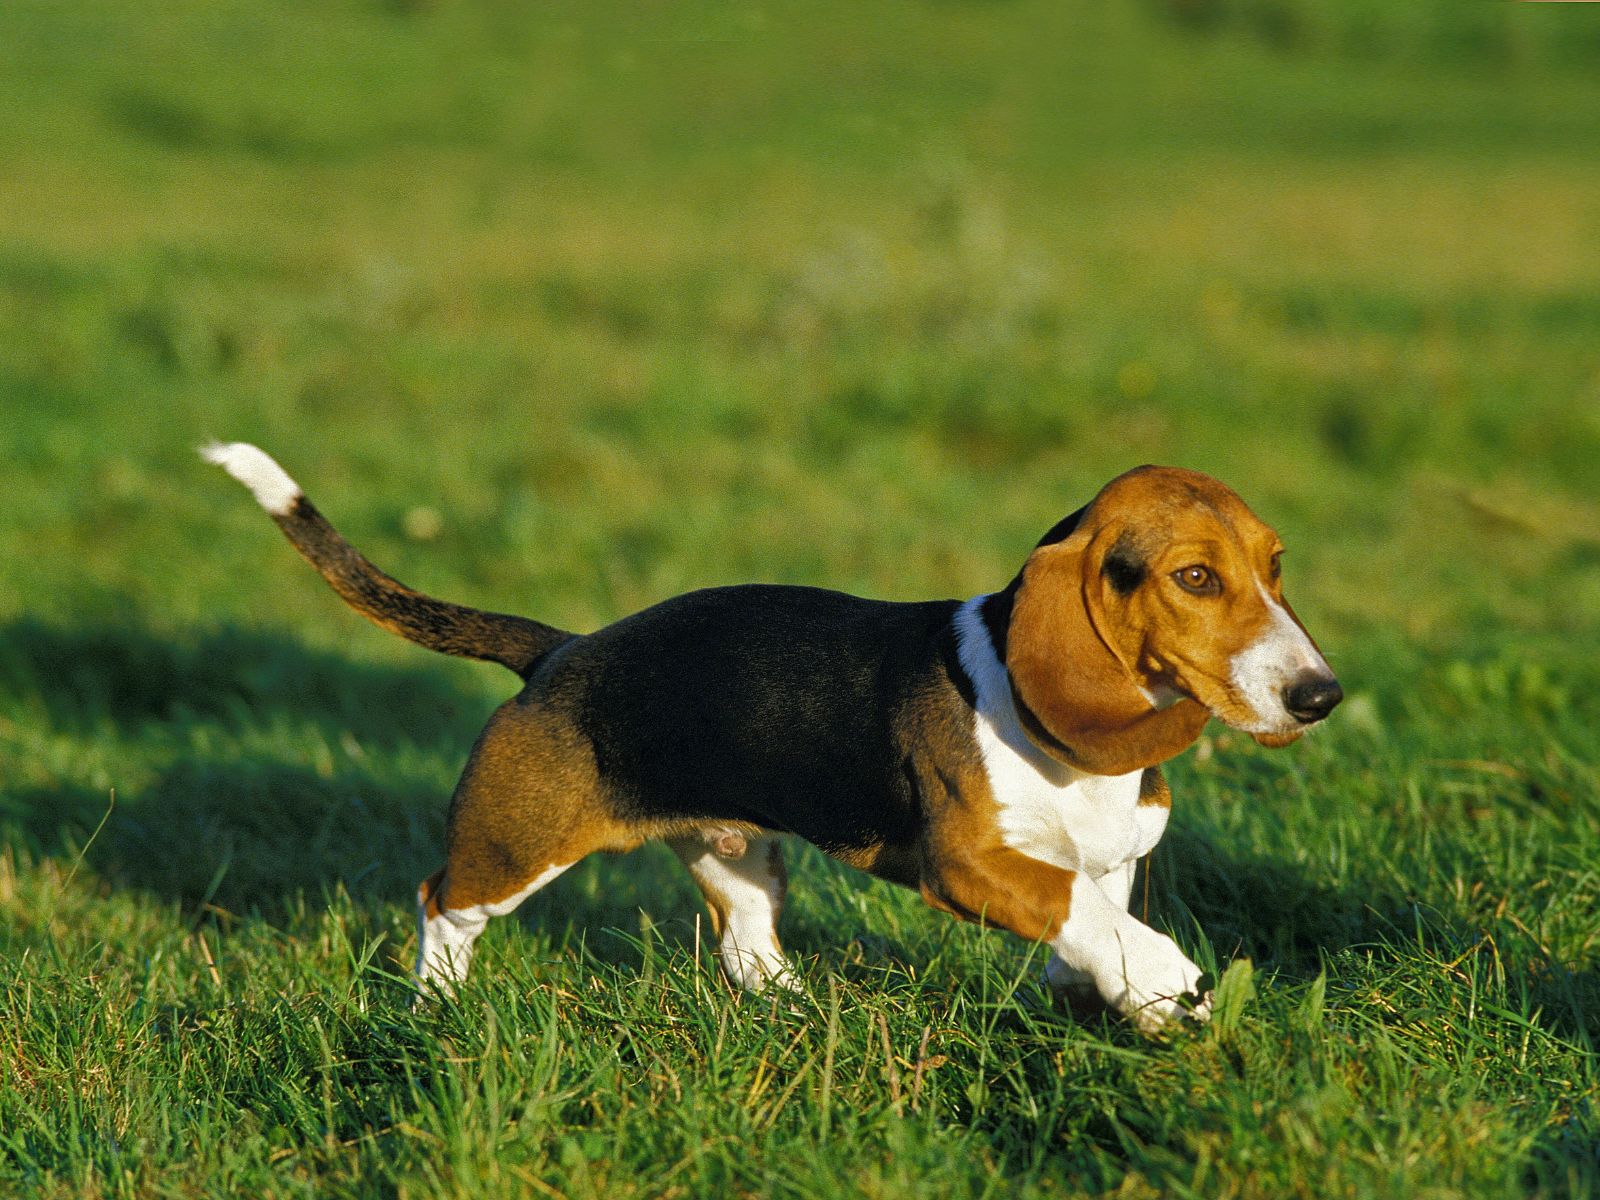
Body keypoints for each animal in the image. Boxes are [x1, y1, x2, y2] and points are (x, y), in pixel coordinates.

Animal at [203, 444, 1340, 1031]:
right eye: (1194, 577)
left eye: (1275, 567)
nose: (1321, 695)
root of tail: (563, 653)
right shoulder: (971, 864)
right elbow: (1082, 910)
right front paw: (1163, 977)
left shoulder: (1113, 858)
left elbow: (1096, 918)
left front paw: (1133, 999)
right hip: (515, 843)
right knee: (444, 905)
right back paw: (435, 1004)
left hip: (740, 851)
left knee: (747, 950)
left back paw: (806, 1004)